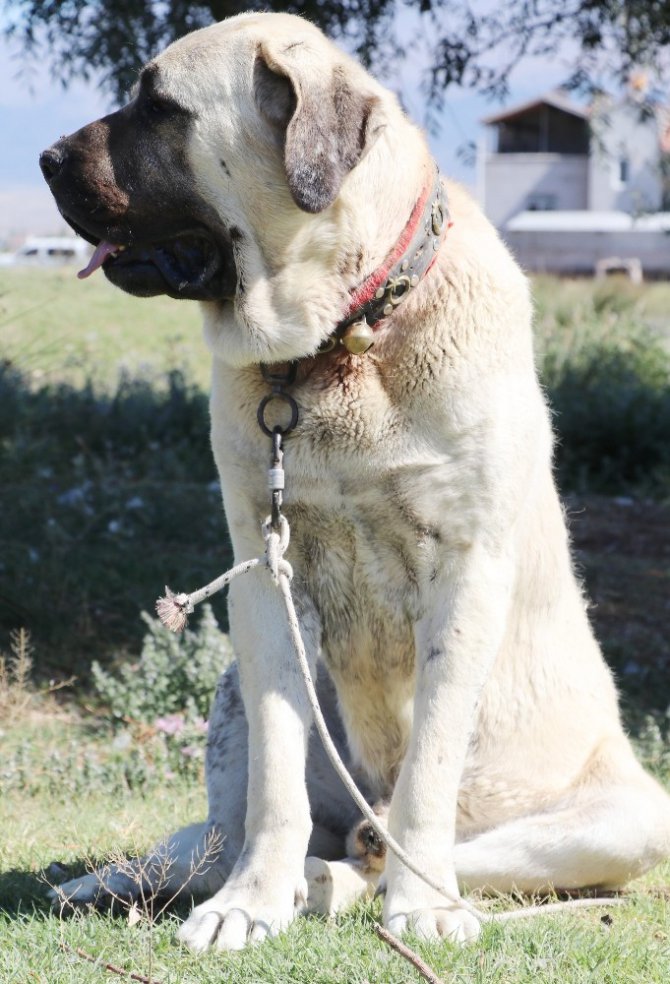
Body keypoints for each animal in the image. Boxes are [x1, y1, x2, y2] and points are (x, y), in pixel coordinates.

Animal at [42, 9, 670, 952]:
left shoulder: (465, 571)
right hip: (229, 694)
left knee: (400, 850)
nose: (44, 158)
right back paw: (154, 877)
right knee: (219, 832)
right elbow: (274, 781)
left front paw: (424, 907)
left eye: (159, 107)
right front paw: (249, 902)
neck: (345, 337)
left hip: (629, 821)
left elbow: (429, 769)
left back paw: (355, 873)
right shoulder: (265, 577)